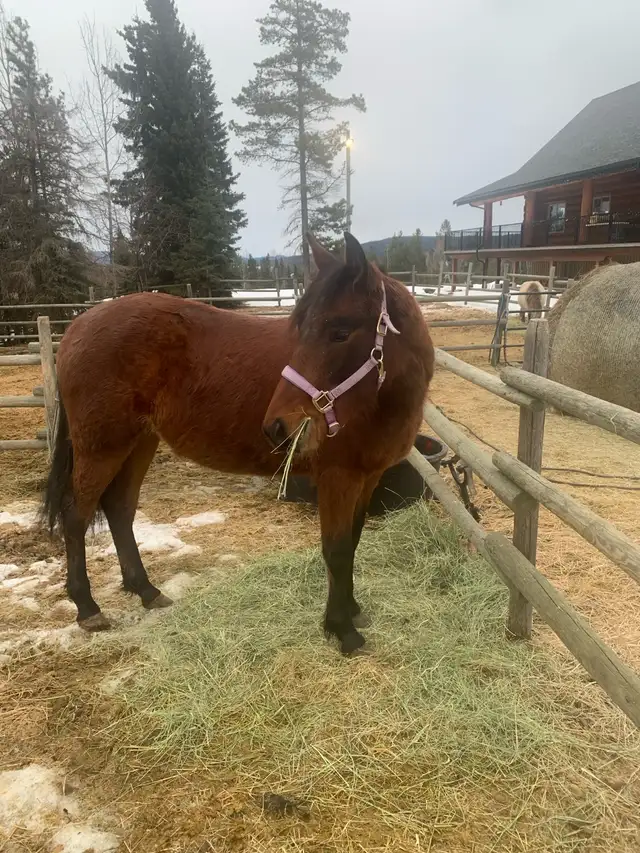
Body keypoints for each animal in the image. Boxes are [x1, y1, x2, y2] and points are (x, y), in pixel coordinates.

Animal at [42, 233, 434, 655]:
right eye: (302, 328)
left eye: (340, 332)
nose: (278, 427)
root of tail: (77, 326)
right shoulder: (337, 477)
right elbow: (337, 548)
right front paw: (341, 629)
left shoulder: (368, 475)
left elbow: (354, 540)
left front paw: (352, 610)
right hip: (102, 447)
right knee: (75, 516)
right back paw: (87, 607)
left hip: (139, 442)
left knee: (119, 509)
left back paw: (146, 590)